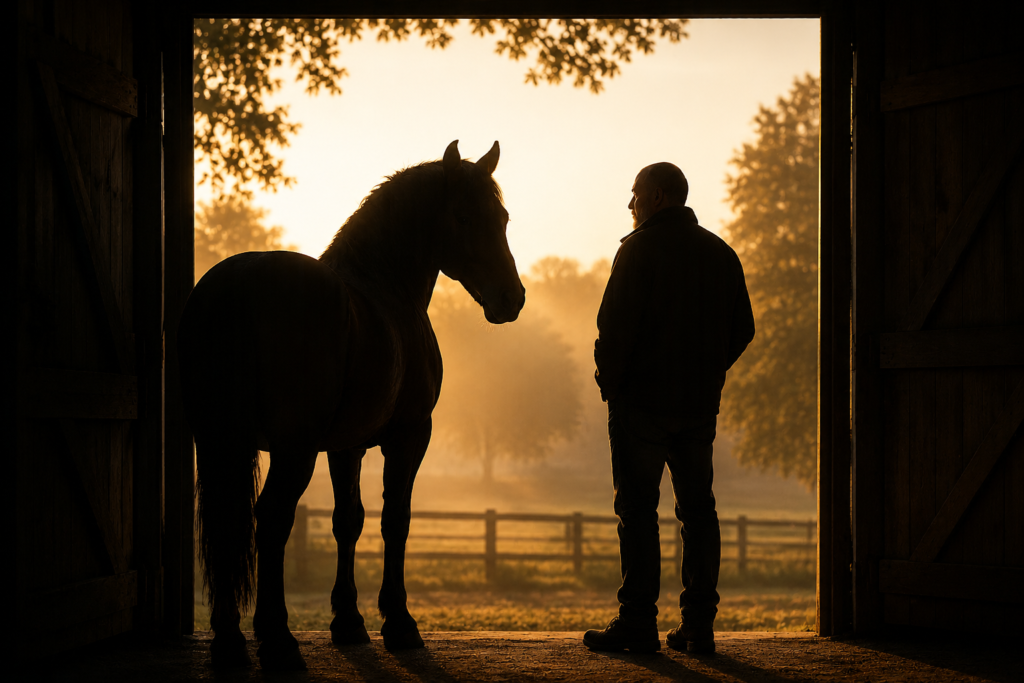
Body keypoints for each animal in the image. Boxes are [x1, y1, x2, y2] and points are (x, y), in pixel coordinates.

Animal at [178, 140, 524, 670]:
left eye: (502, 217)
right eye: (466, 216)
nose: (511, 298)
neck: (386, 288)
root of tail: (238, 279)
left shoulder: (346, 446)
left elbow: (348, 521)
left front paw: (348, 621)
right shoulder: (409, 436)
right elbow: (395, 520)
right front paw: (399, 622)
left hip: (220, 441)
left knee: (228, 523)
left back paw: (230, 643)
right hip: (292, 449)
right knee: (272, 518)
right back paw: (278, 640)